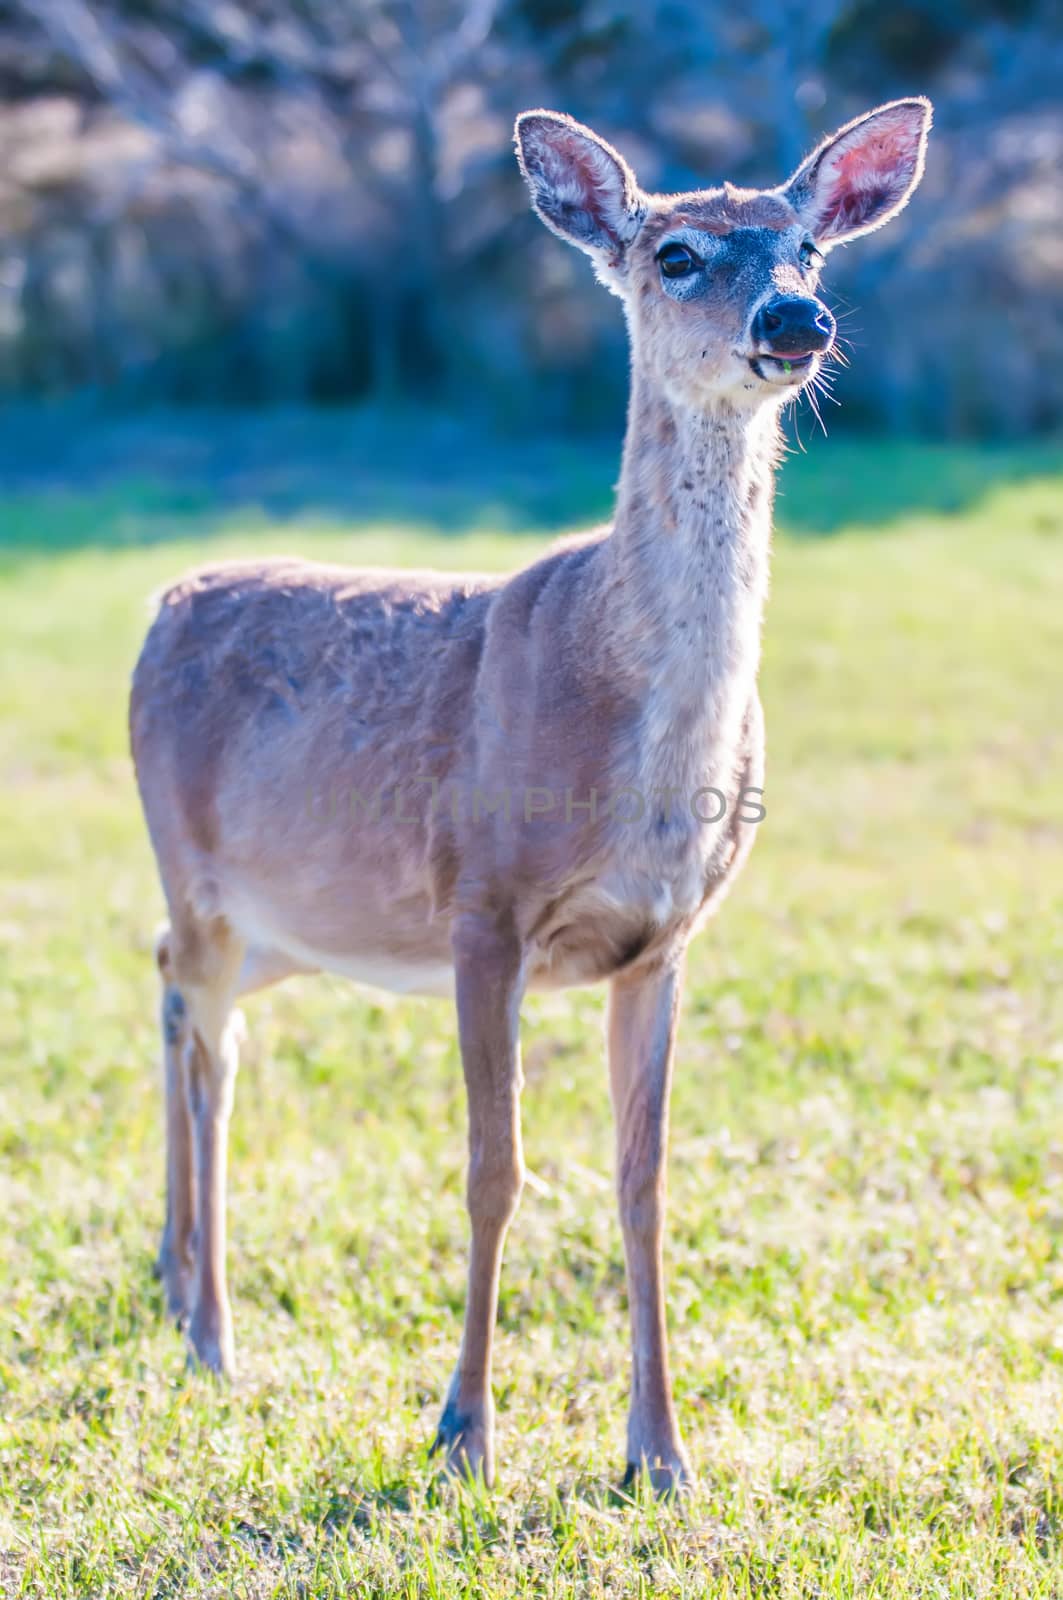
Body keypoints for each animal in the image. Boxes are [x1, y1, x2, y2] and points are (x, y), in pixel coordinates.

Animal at [130, 100, 928, 1491]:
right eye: (675, 252)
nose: (796, 320)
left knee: (171, 988)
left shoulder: (662, 939)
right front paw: (461, 1434)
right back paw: (215, 1333)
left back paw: (181, 1293)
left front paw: (659, 1453)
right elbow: (492, 1170)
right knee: (208, 1040)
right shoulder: (481, 909)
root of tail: (159, 605)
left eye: (808, 249)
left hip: (282, 924)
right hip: (198, 866)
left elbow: (642, 1179)